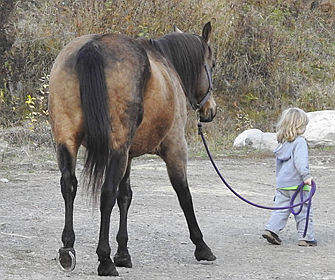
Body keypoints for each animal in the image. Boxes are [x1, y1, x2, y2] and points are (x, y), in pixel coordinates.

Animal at [49, 21, 218, 276]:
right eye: (212, 65)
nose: (211, 110)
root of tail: (94, 45)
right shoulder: (175, 146)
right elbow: (183, 194)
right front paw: (202, 246)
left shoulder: (128, 155)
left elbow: (125, 196)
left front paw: (123, 253)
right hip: (116, 149)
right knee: (106, 193)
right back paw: (104, 260)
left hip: (67, 141)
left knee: (69, 185)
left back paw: (67, 249)